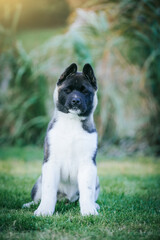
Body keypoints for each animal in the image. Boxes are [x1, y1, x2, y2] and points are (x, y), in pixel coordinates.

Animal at [22, 62, 100, 217]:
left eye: (85, 92)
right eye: (67, 90)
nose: (75, 100)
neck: (72, 121)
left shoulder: (88, 164)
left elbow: (87, 190)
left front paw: (89, 210)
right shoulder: (51, 162)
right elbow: (48, 190)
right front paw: (44, 210)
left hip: (97, 181)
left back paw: (94, 205)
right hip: (39, 182)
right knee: (38, 197)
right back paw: (30, 205)